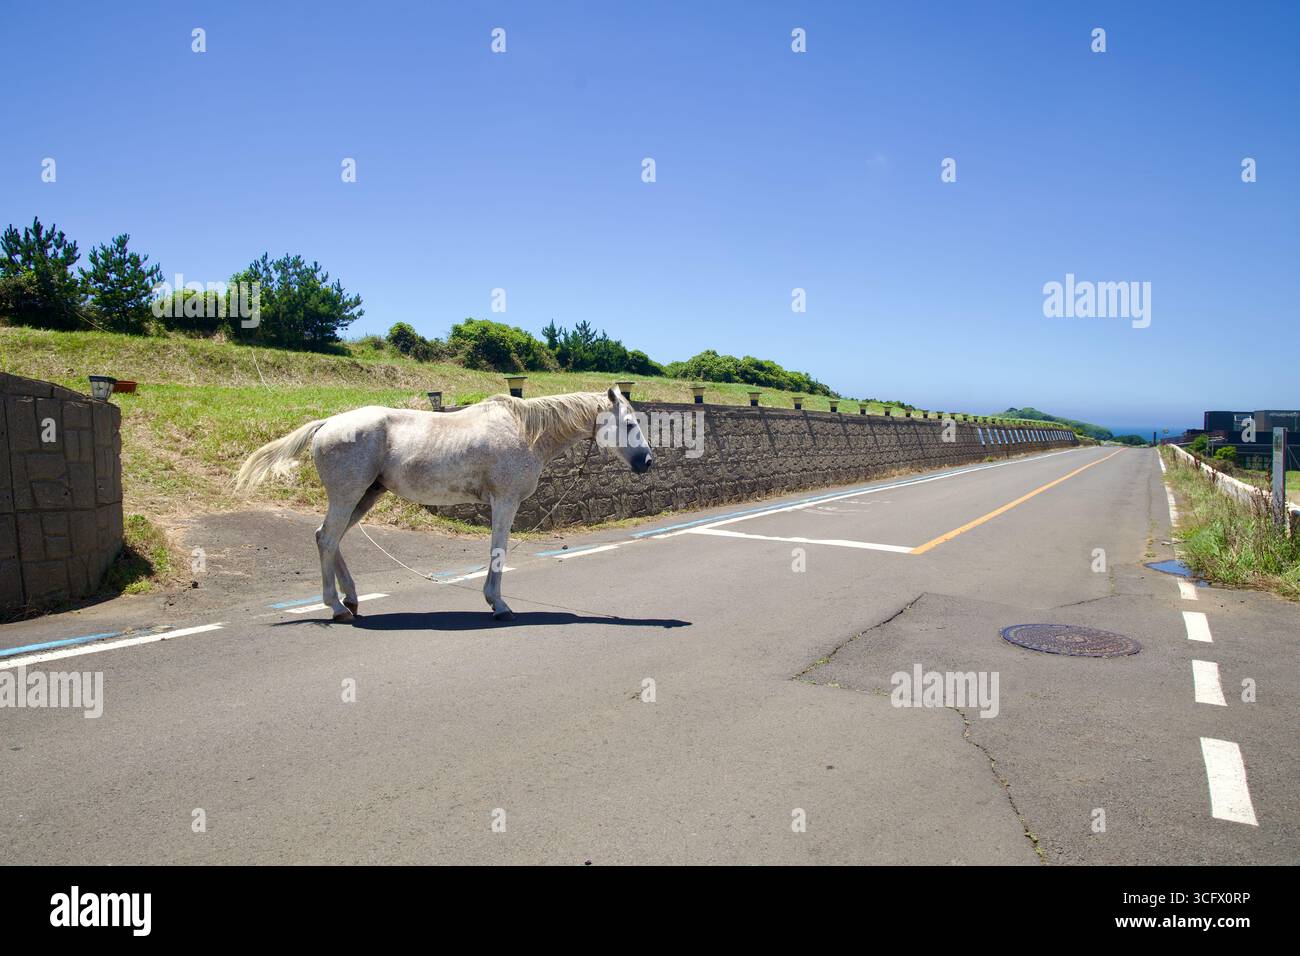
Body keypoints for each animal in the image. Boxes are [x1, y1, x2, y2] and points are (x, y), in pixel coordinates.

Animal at [233, 386, 652, 622]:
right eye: (631, 424)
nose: (648, 461)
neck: (525, 431)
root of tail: (327, 424)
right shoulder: (504, 502)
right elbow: (498, 550)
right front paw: (498, 604)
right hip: (348, 495)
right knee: (326, 539)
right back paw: (336, 607)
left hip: (364, 497)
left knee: (329, 538)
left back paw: (350, 599)